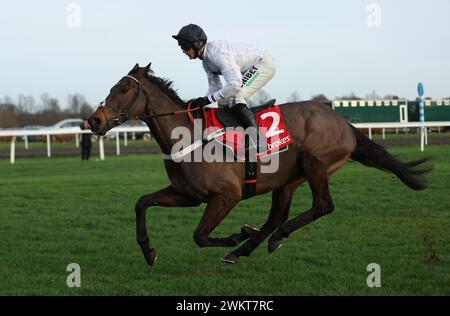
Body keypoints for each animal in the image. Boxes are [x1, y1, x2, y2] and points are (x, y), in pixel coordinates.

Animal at [89, 63, 432, 266]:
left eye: (122, 89)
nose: (94, 120)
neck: (187, 136)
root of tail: (345, 123)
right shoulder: (187, 194)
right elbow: (142, 202)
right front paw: (148, 250)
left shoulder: (226, 196)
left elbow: (199, 236)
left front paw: (233, 235)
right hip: (288, 180)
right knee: (275, 217)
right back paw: (247, 246)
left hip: (316, 165)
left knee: (322, 206)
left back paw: (266, 239)